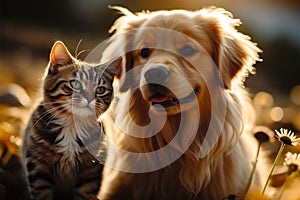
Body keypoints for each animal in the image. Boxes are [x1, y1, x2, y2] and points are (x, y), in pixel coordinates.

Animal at [22, 41, 118, 200]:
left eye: (100, 90)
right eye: (75, 84)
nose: (90, 98)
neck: (72, 126)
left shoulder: (91, 173)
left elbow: (84, 193)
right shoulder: (38, 167)